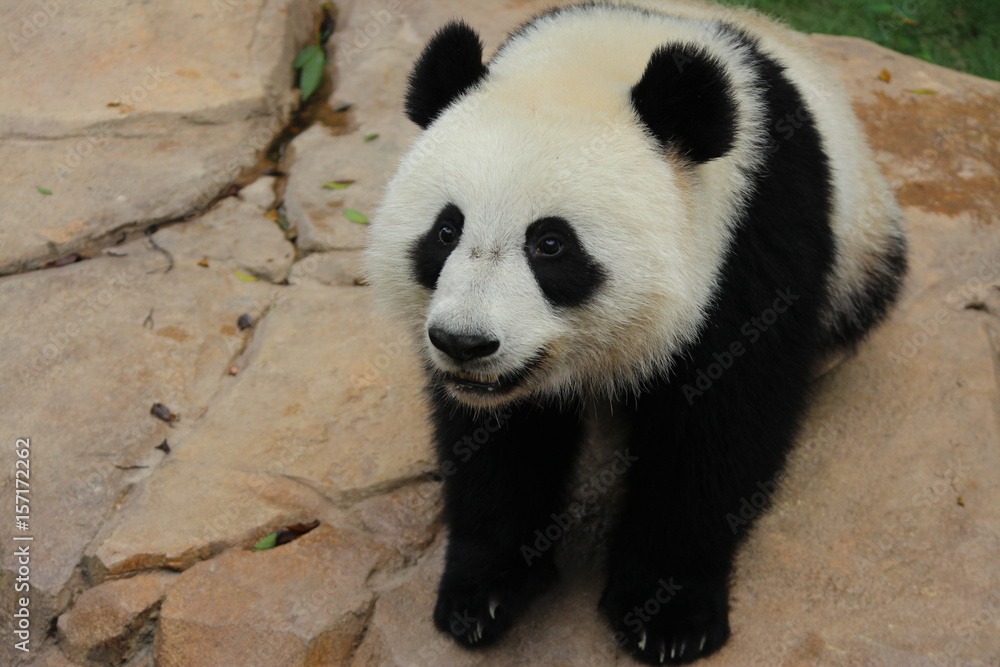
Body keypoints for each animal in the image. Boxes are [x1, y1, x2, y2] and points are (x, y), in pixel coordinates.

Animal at [365, 0, 906, 664]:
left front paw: (668, 616)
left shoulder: (754, 236)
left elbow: (720, 427)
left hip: (864, 244)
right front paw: (483, 593)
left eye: (551, 245)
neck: (601, 57)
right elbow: (497, 440)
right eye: (446, 232)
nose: (465, 344)